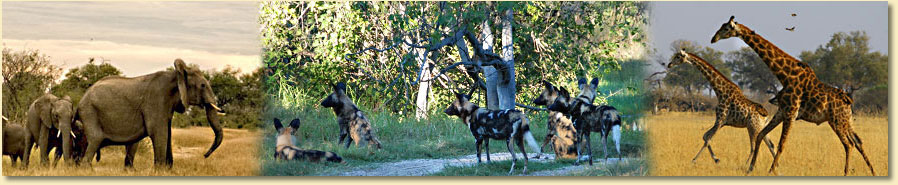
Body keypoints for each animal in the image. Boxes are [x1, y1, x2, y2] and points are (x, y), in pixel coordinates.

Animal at [75, 58, 226, 168]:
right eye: (203, 86)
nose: (204, 155)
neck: (176, 75)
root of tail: (82, 98)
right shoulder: (157, 100)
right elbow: (159, 132)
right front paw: (159, 170)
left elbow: (167, 132)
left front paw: (167, 170)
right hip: (90, 112)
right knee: (95, 141)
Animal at [712, 15, 872, 175]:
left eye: (726, 28)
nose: (713, 38)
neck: (786, 76)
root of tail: (848, 100)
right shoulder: (781, 112)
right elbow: (761, 136)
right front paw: (750, 169)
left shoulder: (791, 113)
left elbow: (781, 144)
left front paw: (771, 171)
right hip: (846, 120)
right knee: (858, 141)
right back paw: (872, 170)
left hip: (836, 120)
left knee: (849, 144)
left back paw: (846, 172)